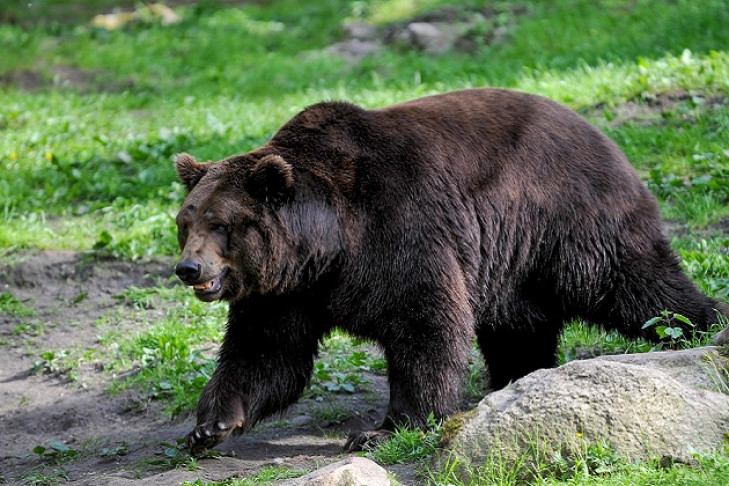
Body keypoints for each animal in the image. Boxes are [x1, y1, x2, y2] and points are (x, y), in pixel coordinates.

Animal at [173, 88, 724, 456]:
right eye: (185, 221)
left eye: (220, 223)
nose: (188, 268)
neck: (327, 245)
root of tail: (605, 136)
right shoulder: (286, 291)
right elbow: (267, 353)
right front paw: (209, 426)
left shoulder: (400, 230)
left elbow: (424, 325)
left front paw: (382, 429)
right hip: (511, 263)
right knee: (518, 327)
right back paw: (514, 379)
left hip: (569, 222)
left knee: (637, 286)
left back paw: (705, 326)